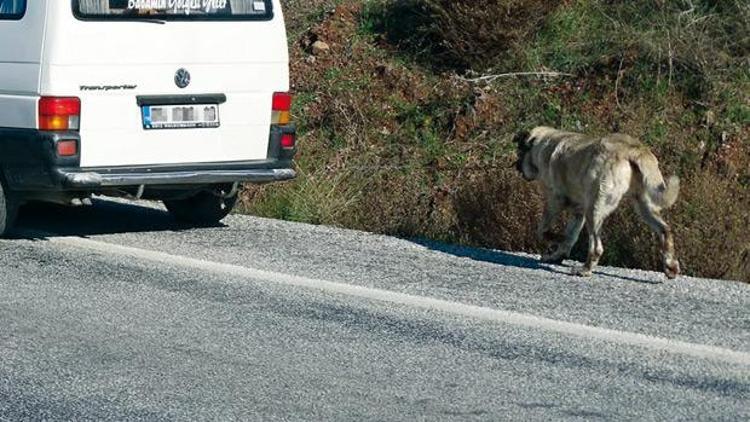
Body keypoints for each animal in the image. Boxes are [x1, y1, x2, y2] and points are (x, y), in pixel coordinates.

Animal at [516, 127, 680, 278]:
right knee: (665, 230)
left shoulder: (554, 202)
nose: (516, 166)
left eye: (520, 153)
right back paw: (670, 266)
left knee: (596, 248)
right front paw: (557, 255)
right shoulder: (578, 213)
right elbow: (570, 237)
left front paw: (557, 239)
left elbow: (542, 231)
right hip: (644, 207)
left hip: (593, 211)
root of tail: (632, 149)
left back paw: (585, 269)